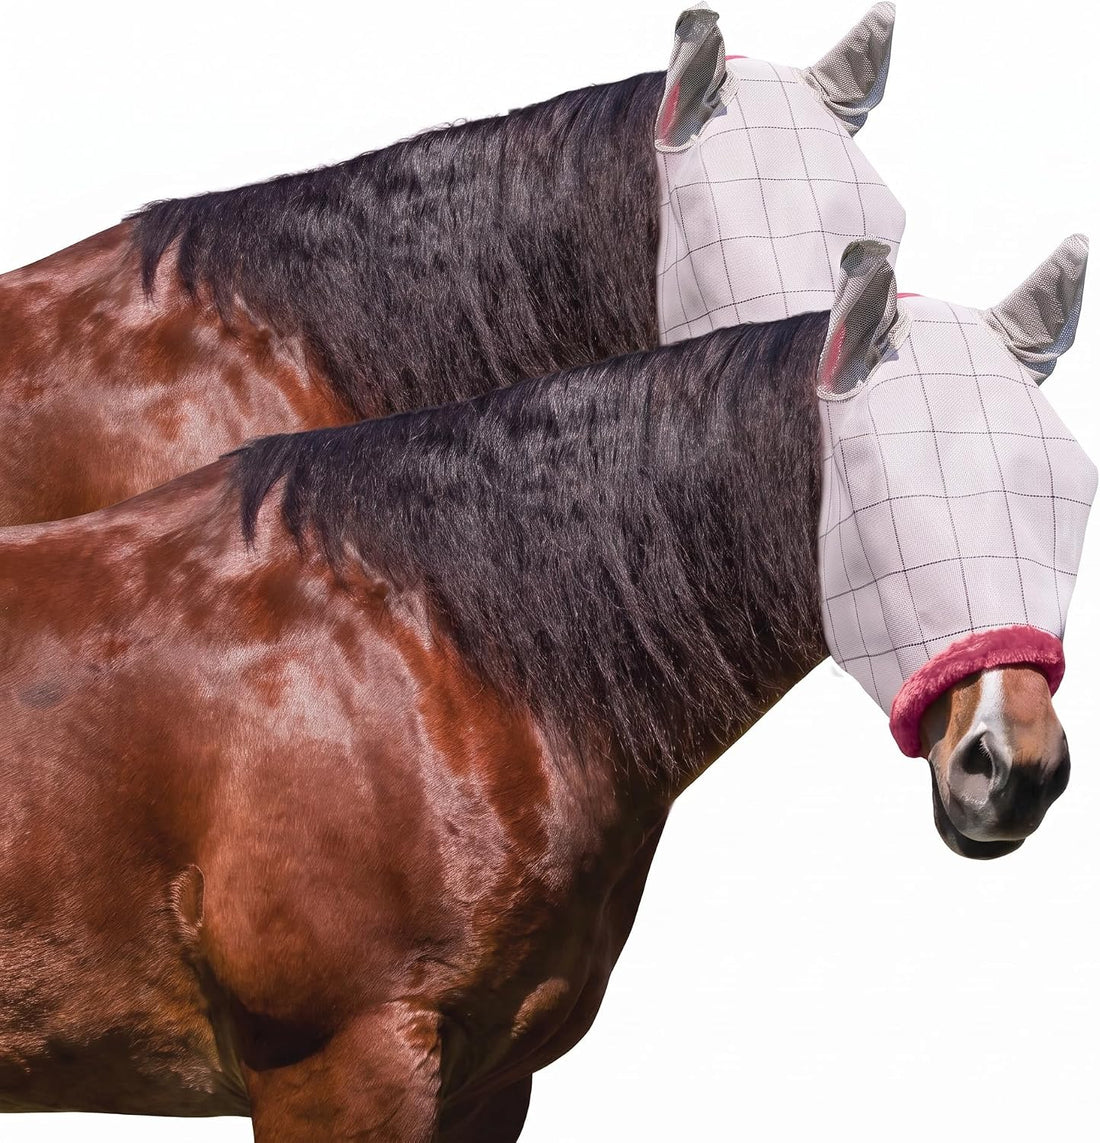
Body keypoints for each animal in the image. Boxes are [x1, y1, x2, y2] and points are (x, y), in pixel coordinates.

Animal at [0, 238, 1089, 1136]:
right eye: (881, 486)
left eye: (1069, 490)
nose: (1014, 766)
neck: (425, 658)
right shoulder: (336, 1065)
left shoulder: (487, 1082)